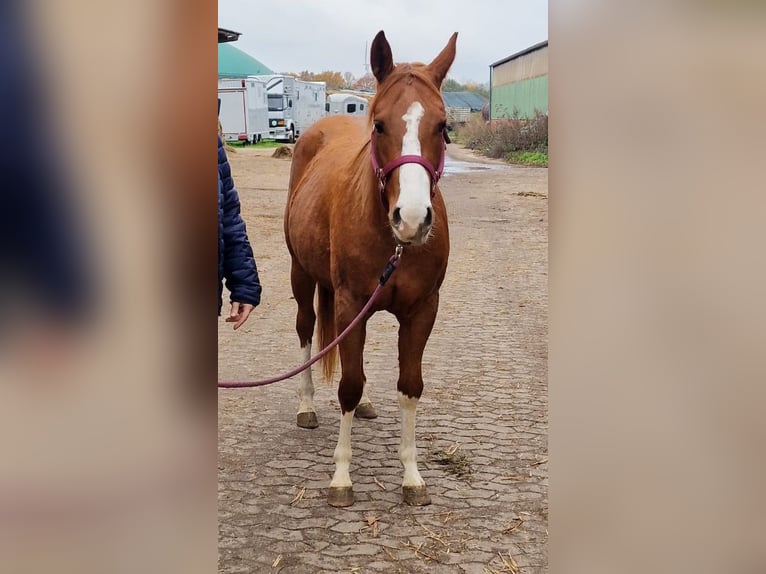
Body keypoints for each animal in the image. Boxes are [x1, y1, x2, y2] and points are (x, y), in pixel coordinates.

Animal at [284, 30, 456, 507]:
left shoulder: (422, 310)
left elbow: (410, 385)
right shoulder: (348, 303)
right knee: (306, 329)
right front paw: (341, 476)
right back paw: (306, 405)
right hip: (301, 276)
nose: (412, 218)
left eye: (443, 126)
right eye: (379, 124)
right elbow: (348, 383)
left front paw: (412, 474)